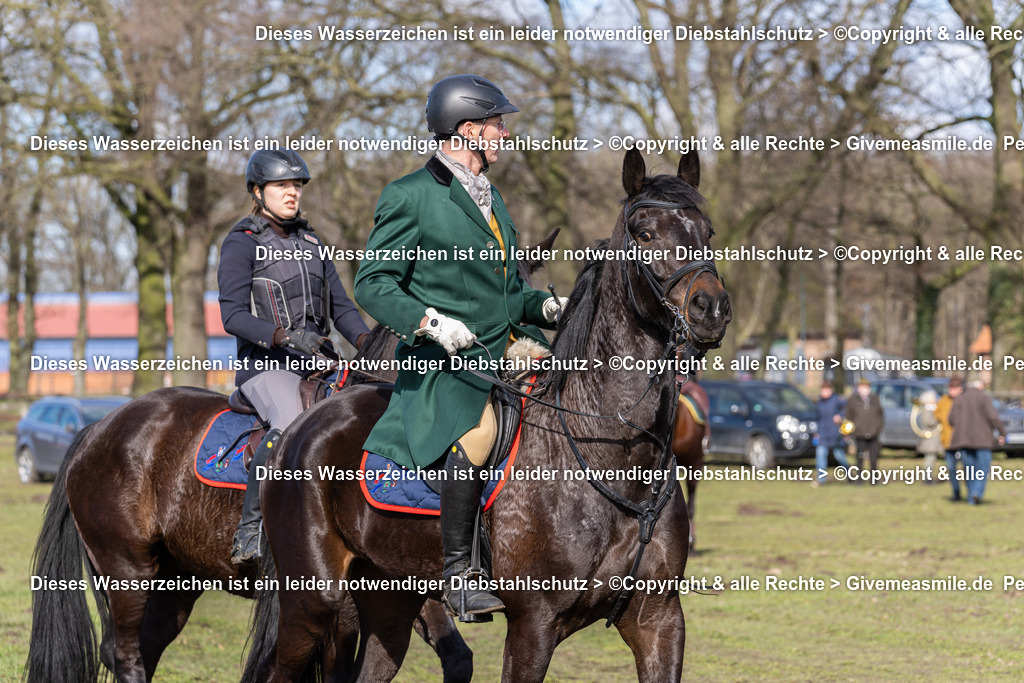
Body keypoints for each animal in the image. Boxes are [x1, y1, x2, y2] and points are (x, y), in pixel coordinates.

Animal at [243, 150, 733, 683]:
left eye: (706, 231)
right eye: (644, 233)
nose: (711, 307)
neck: (613, 455)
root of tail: (301, 427)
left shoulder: (658, 621)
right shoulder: (533, 626)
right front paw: (449, 331)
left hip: (388, 601)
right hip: (313, 602)